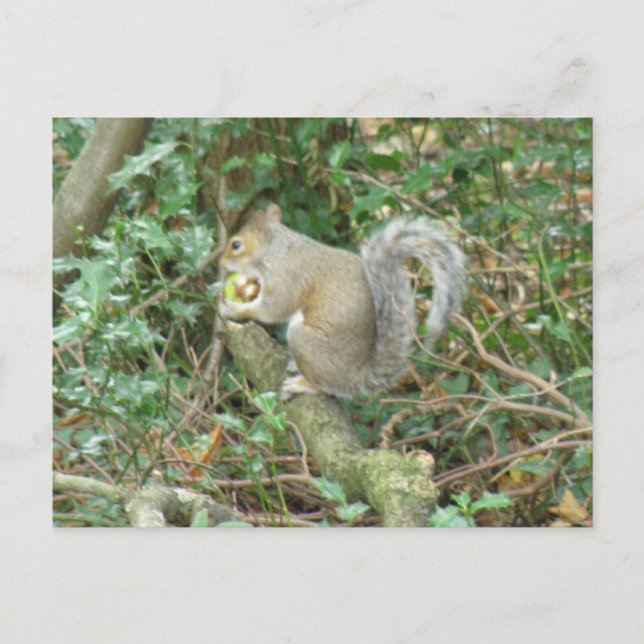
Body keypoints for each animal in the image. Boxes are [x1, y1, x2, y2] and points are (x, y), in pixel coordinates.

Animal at [219, 204, 466, 398]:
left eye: (236, 245)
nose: (220, 262)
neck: (275, 250)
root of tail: (354, 377)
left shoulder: (286, 277)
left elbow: (272, 309)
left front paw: (232, 308)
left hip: (303, 342)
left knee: (325, 386)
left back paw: (303, 384)